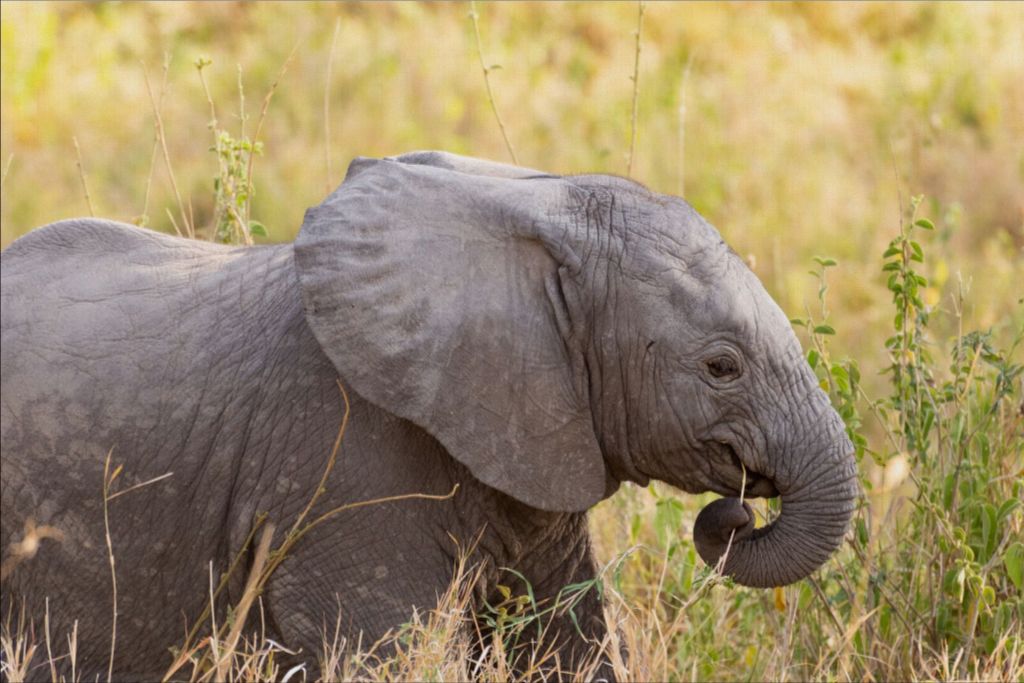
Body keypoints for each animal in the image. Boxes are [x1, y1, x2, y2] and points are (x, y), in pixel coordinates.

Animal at [0, 150, 860, 679]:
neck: (536, 211)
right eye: (722, 366)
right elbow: (375, 648)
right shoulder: (342, 458)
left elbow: (563, 643)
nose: (734, 512)